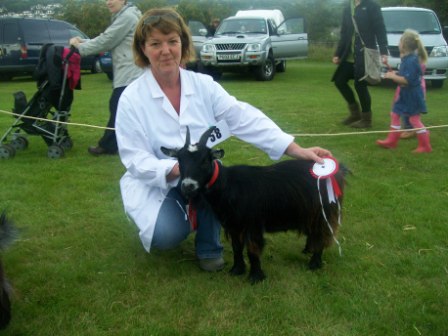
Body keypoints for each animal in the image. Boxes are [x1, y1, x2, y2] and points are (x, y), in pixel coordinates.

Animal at [161, 126, 346, 284]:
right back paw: (308, 250)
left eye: (205, 161)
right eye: (179, 161)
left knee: (322, 233)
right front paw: (236, 270)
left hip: (323, 209)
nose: (188, 186)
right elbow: (237, 247)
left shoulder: (252, 223)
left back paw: (314, 263)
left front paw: (255, 277)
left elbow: (252, 249)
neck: (228, 185)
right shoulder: (233, 225)